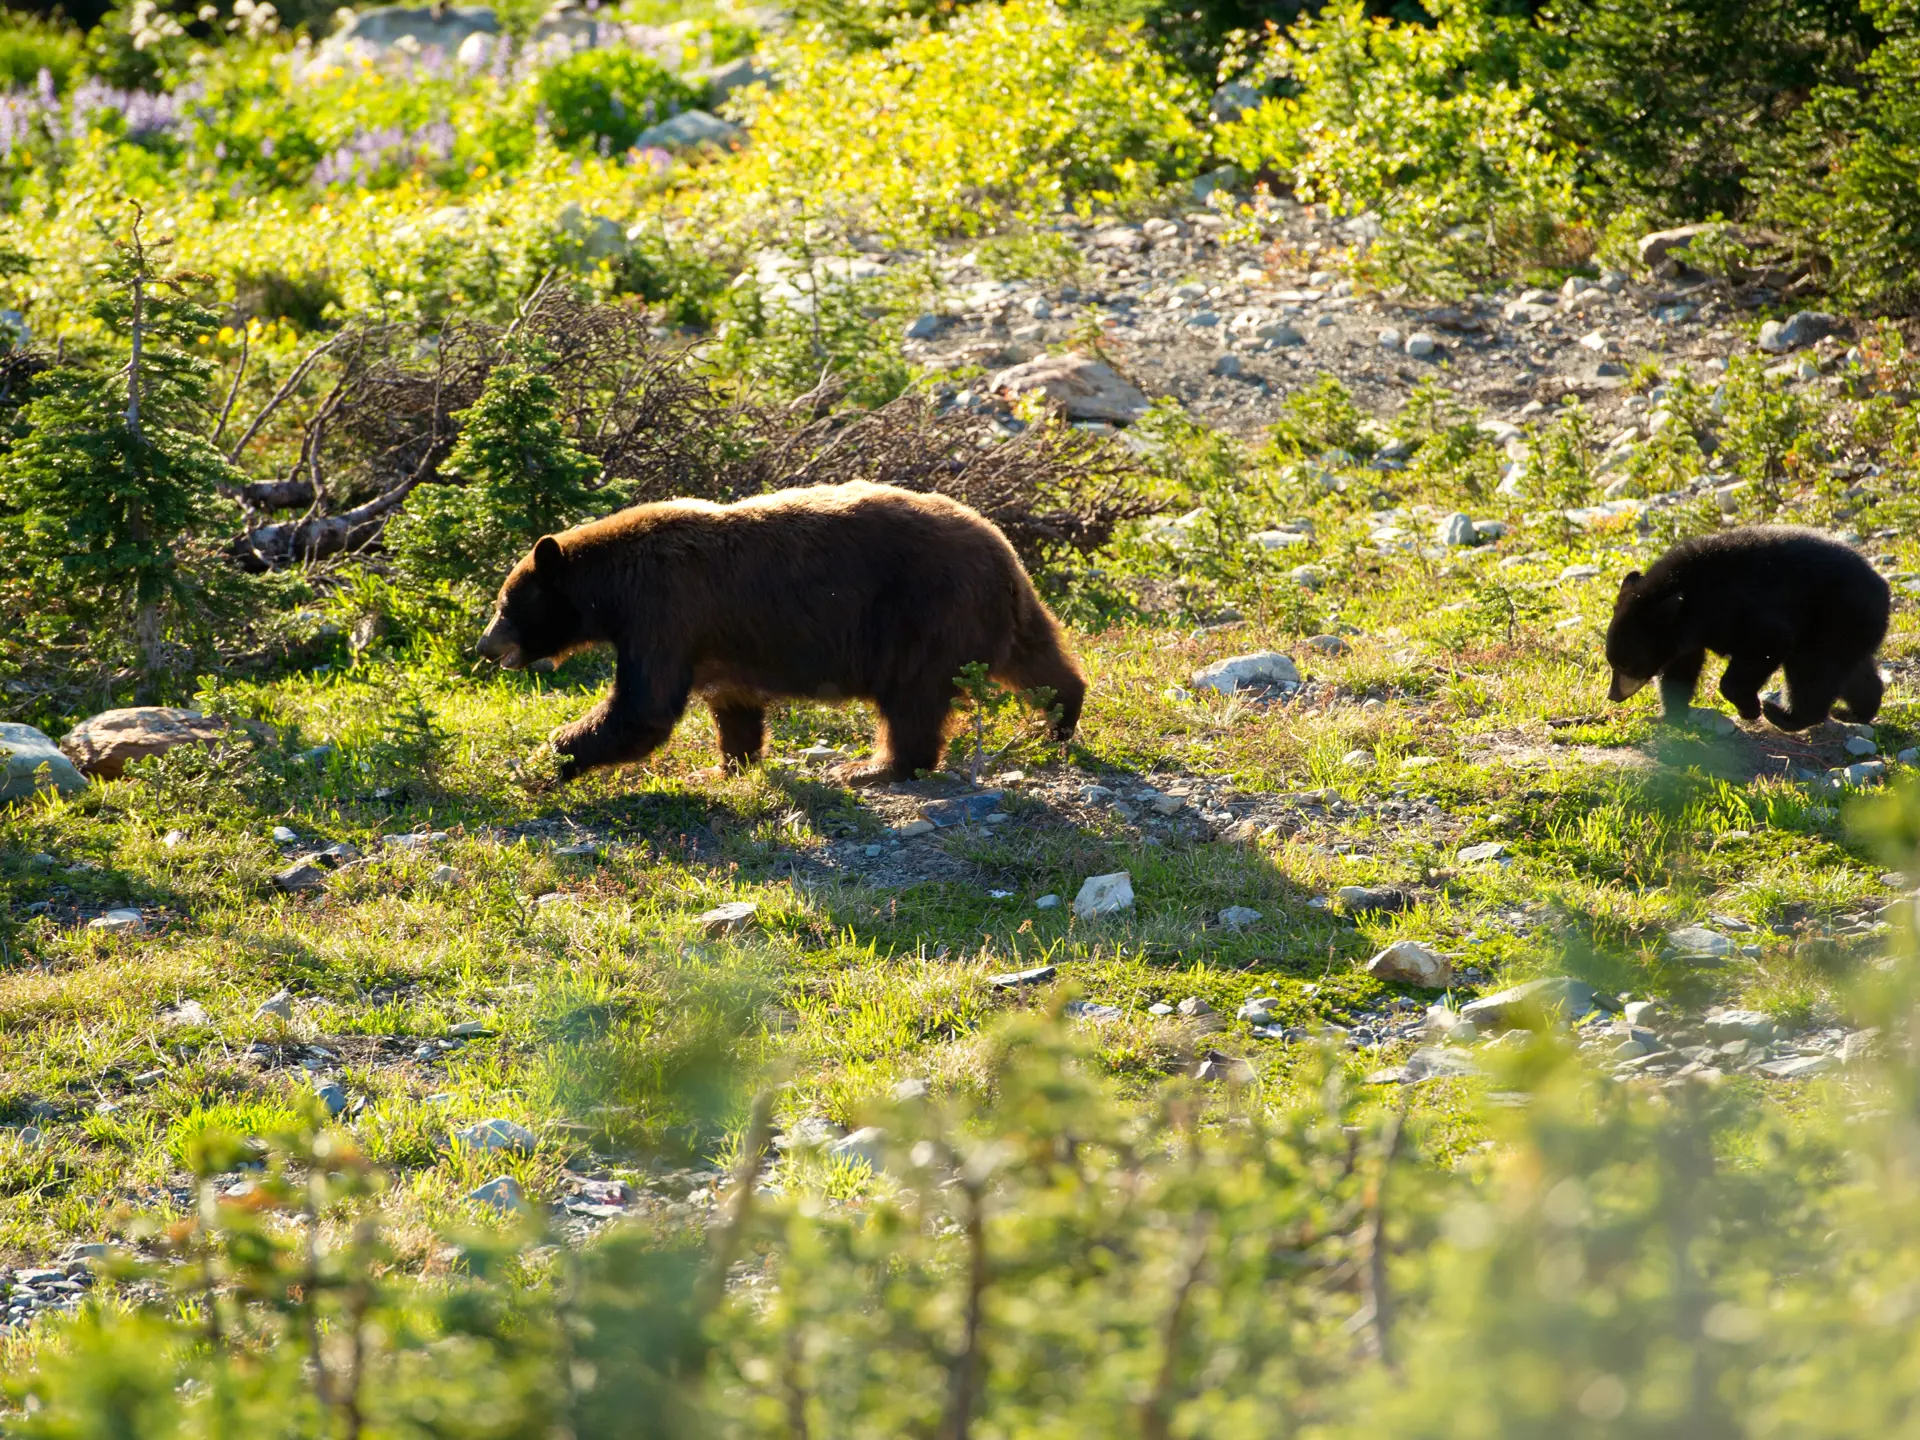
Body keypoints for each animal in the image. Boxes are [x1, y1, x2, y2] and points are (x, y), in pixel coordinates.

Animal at [474, 481, 1090, 779]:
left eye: (505, 603)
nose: (484, 646)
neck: (614, 586)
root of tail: (1001, 549)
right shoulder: (711, 639)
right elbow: (733, 703)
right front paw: (728, 764)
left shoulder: (663, 611)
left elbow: (642, 707)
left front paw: (539, 763)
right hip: (1004, 611)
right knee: (1039, 661)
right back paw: (1059, 719)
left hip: (923, 615)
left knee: (911, 700)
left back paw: (874, 768)